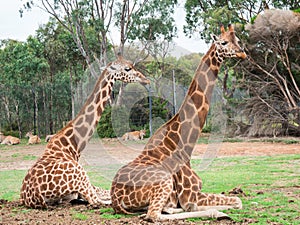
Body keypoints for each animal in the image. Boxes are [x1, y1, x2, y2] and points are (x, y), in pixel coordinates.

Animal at [19, 55, 149, 209]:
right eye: (127, 68)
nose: (145, 79)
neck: (72, 148)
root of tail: (34, 197)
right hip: (80, 174)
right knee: (100, 201)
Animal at [111, 24, 247, 221]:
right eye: (223, 42)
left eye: (237, 40)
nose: (242, 53)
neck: (185, 145)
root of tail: (116, 198)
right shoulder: (190, 194)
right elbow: (236, 201)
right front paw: (218, 210)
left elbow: (236, 200)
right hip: (164, 181)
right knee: (154, 214)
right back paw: (216, 212)